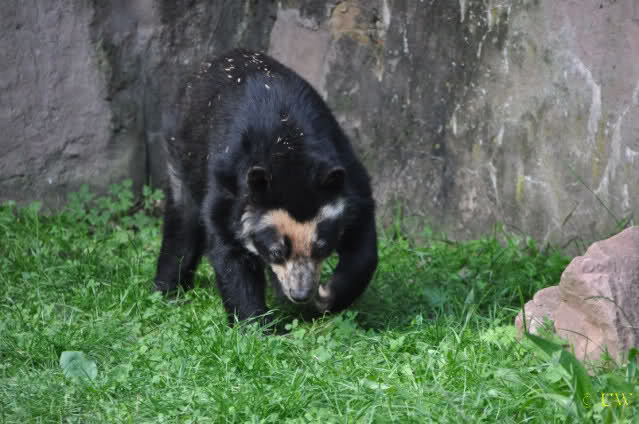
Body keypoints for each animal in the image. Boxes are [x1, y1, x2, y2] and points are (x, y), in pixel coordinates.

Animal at [153, 49, 378, 325]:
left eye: (322, 247)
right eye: (276, 252)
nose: (301, 294)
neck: (289, 148)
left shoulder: (349, 174)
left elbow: (362, 239)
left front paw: (327, 296)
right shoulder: (228, 188)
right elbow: (230, 252)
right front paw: (257, 325)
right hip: (182, 151)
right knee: (183, 219)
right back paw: (167, 290)